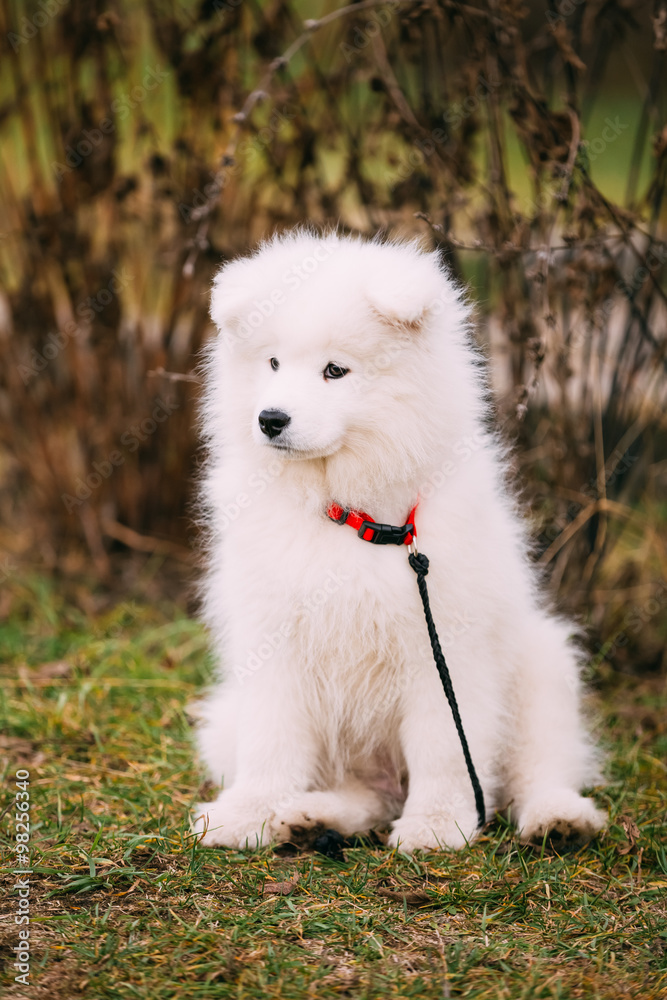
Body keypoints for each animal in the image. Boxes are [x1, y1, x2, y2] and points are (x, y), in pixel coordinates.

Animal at [192, 229, 604, 852]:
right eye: (273, 363)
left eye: (335, 371)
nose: (270, 419)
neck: (348, 515)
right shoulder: (273, 640)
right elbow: (271, 742)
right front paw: (246, 815)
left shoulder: (442, 645)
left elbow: (444, 748)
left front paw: (436, 825)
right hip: (233, 720)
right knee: (366, 796)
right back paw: (312, 819)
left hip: (541, 666)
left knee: (537, 768)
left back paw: (559, 818)